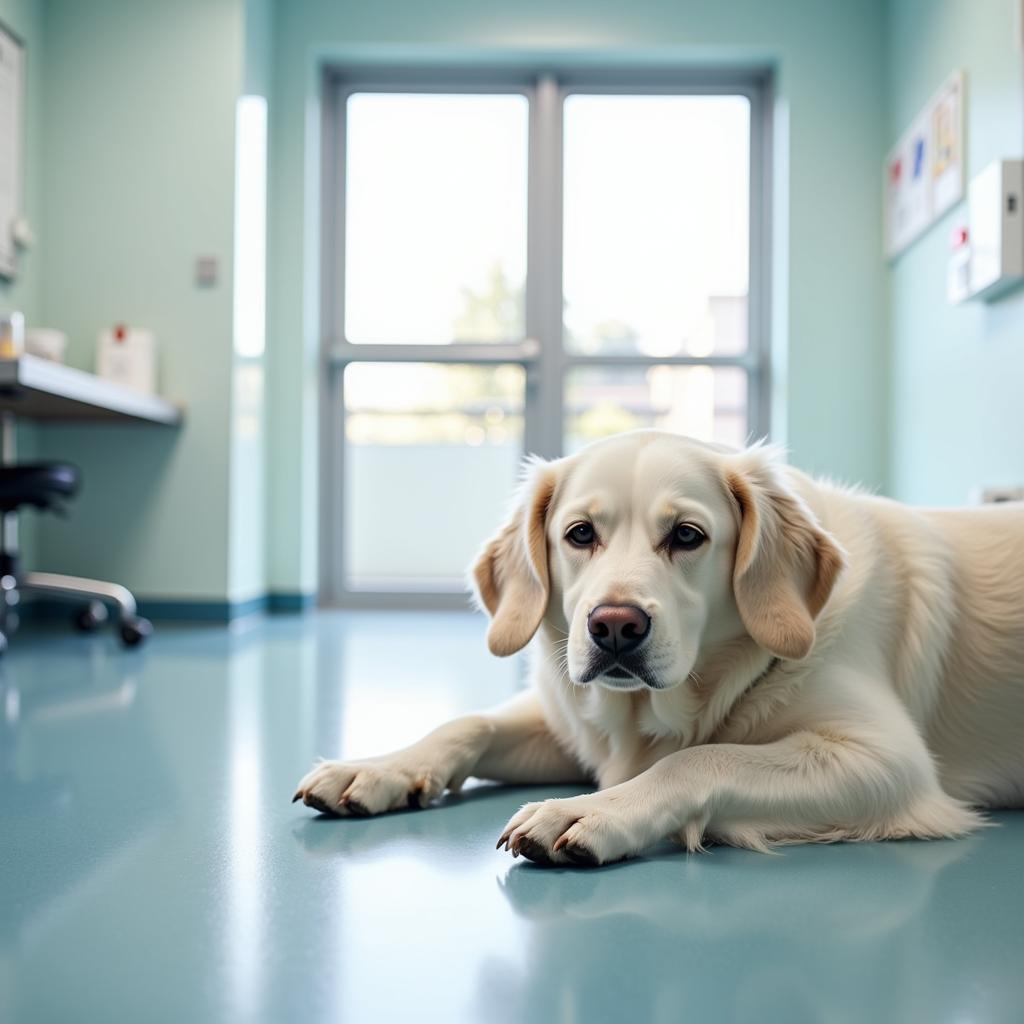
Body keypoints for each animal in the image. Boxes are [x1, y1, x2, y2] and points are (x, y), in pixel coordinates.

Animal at [290, 432, 1024, 864]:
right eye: (580, 534)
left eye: (688, 536)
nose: (614, 626)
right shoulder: (577, 727)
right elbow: (467, 723)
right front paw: (377, 768)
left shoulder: (887, 761)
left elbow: (696, 760)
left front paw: (586, 811)